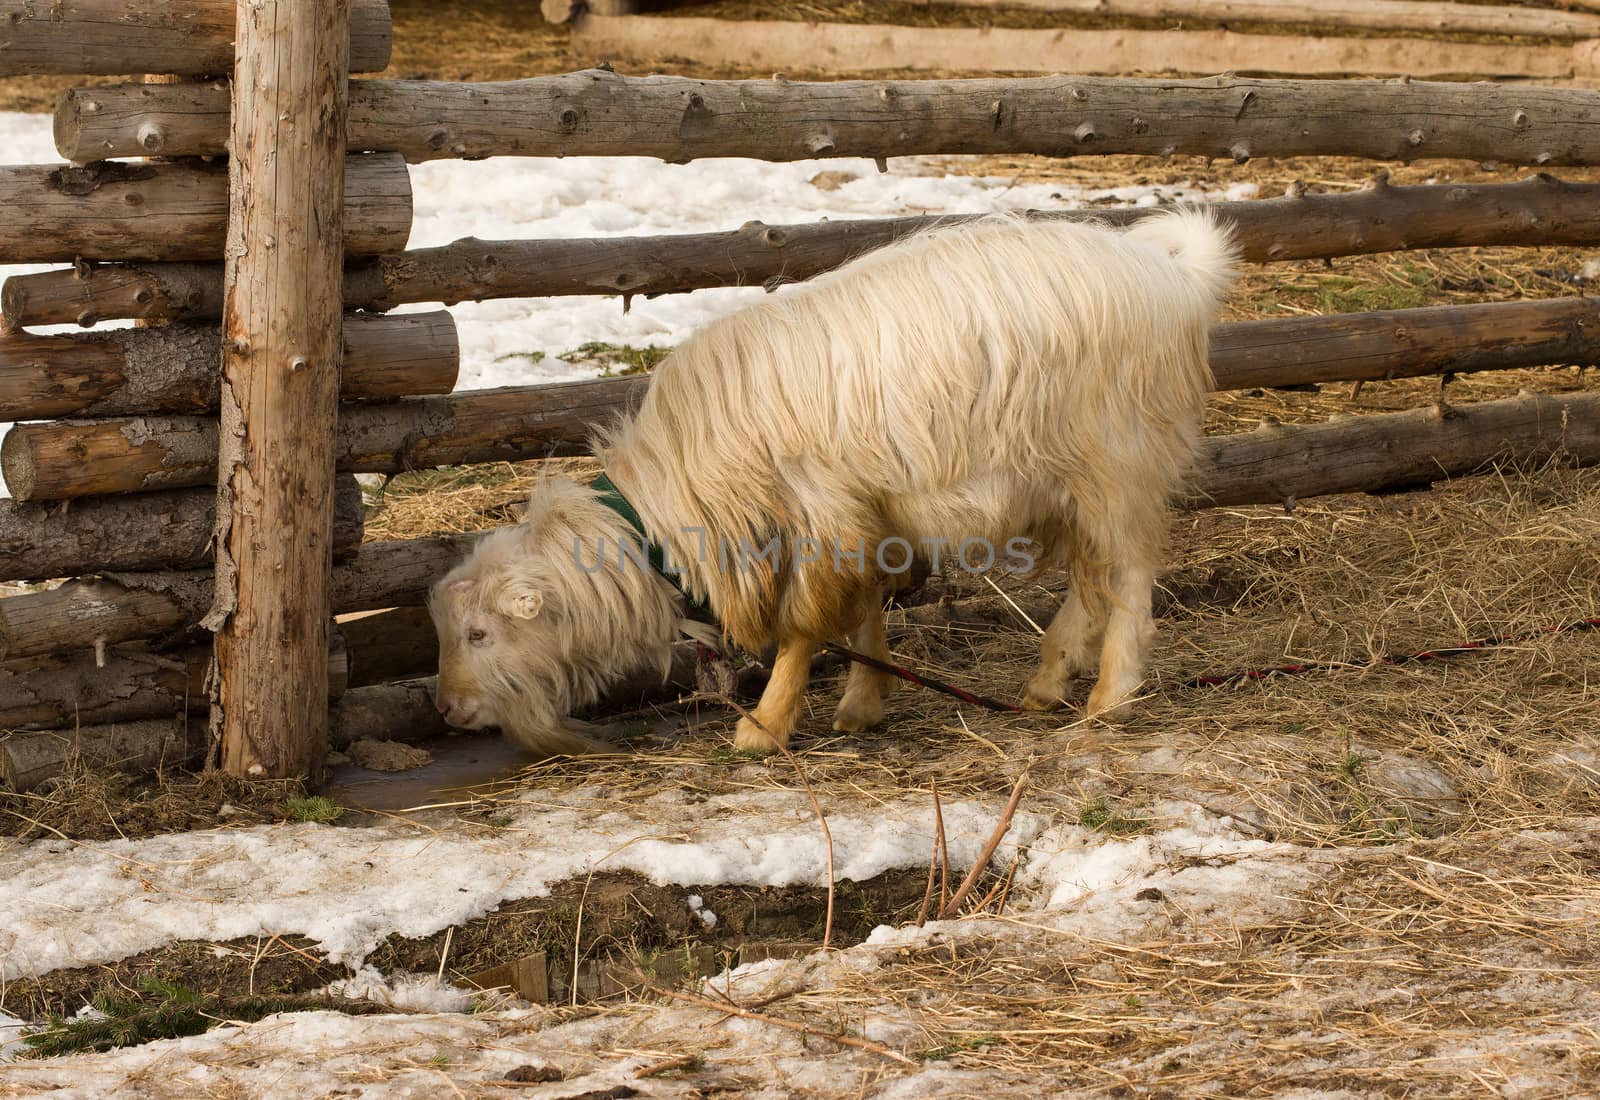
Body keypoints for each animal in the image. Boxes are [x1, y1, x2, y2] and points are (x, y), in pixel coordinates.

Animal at [432, 207, 1241, 754]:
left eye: (479, 633)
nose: (445, 709)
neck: (668, 508)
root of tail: (1173, 274)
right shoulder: (863, 515)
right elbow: (861, 611)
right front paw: (862, 702)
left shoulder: (817, 515)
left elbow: (804, 625)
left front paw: (765, 726)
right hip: (1068, 484)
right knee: (1090, 579)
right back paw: (1047, 682)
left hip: (1117, 459)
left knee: (1128, 575)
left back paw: (1111, 696)